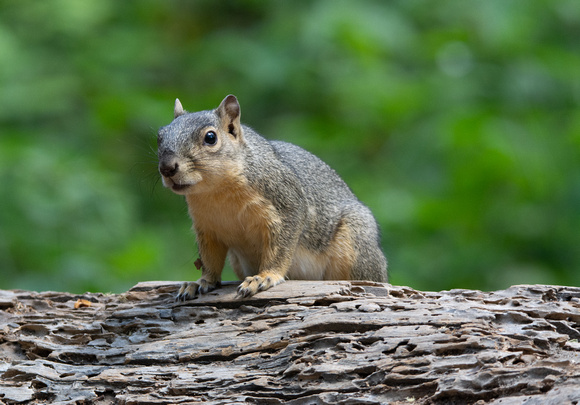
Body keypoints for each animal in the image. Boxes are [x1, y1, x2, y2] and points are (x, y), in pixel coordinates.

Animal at [156, 93, 388, 298]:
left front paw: (265, 276)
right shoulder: (207, 228)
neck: (216, 192)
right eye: (160, 136)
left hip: (355, 244)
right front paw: (201, 282)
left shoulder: (286, 202)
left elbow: (280, 248)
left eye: (210, 137)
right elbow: (209, 259)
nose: (167, 168)